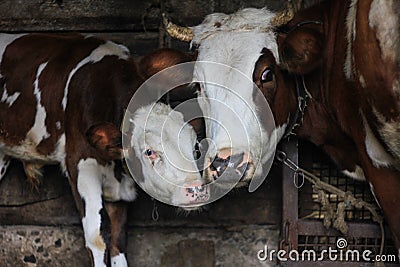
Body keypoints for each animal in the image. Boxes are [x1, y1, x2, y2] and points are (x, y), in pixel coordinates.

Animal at [0, 34, 208, 267]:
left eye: (195, 148)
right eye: (149, 152)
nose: (196, 190)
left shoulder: (121, 191)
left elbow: (118, 243)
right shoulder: (80, 165)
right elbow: (97, 239)